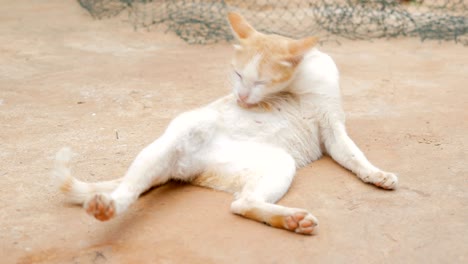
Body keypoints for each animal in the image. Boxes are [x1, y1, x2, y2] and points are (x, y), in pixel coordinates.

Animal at [53, 12, 396, 235]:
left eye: (261, 81)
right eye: (237, 74)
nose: (241, 99)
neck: (301, 83)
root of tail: (187, 168)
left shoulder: (332, 128)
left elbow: (354, 156)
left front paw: (376, 175)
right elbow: (353, 153)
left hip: (277, 163)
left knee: (241, 203)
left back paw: (291, 220)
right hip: (174, 139)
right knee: (130, 188)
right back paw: (107, 206)